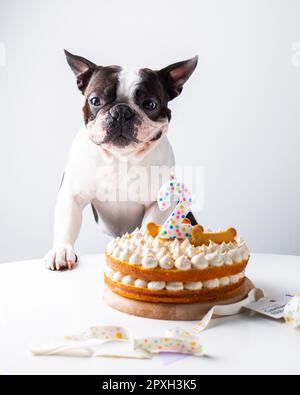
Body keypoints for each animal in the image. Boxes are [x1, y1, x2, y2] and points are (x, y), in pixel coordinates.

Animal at [44, 51, 198, 270]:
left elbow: (149, 225)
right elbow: (67, 225)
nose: (122, 111)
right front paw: (61, 251)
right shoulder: (72, 195)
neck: (120, 157)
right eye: (95, 100)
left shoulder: (159, 203)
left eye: (149, 104)